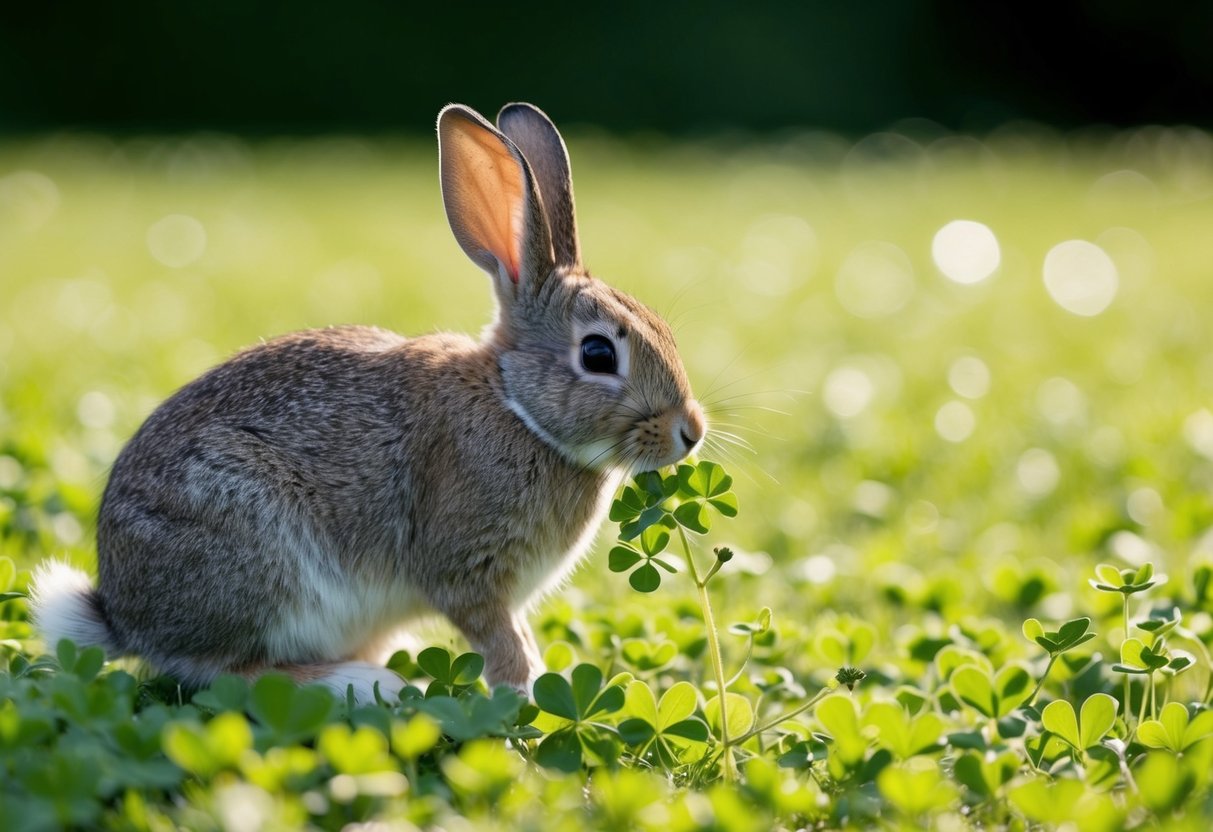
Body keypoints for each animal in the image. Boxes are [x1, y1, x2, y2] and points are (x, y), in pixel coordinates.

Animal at [29, 102, 707, 703]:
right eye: (597, 354)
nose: (691, 431)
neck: (515, 406)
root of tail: (123, 615)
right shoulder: (469, 573)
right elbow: (503, 642)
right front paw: (528, 698)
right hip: (255, 552)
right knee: (226, 672)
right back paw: (362, 685)